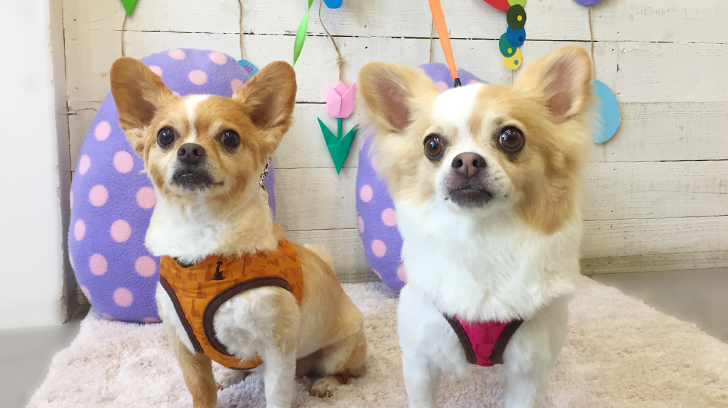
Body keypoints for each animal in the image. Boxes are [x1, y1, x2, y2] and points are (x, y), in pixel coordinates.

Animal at [110, 58, 366, 408]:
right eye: (165, 136)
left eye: (230, 138)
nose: (189, 150)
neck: (202, 235)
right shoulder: (185, 347)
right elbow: (201, 392)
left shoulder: (278, 350)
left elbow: (277, 397)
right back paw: (229, 375)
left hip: (340, 350)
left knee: (342, 372)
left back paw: (325, 382)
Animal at [358, 45, 594, 408]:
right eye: (432, 145)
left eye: (510, 137)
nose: (467, 160)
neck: (481, 237)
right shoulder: (419, 357)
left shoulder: (529, 368)